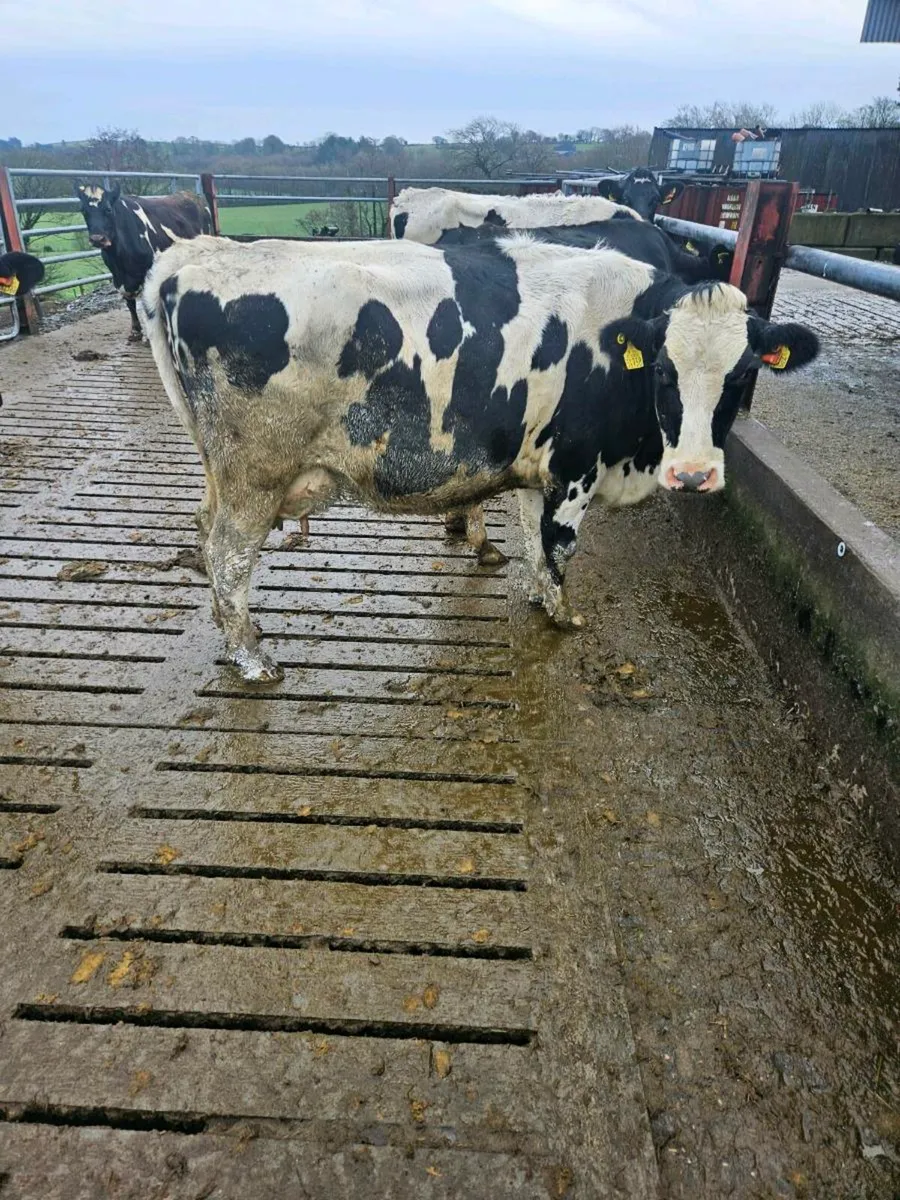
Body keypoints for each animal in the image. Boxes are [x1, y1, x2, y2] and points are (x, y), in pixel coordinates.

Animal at [76, 184, 209, 342]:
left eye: (108, 209)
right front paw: (135, 330)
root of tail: (190, 194)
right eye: (83, 211)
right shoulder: (119, 278)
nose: (97, 239)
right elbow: (130, 303)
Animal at [141, 233, 819, 684]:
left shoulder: (538, 465)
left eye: (744, 374)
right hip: (255, 474)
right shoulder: (576, 465)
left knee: (204, 532)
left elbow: (532, 537)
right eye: (662, 370)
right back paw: (253, 659)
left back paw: (239, 638)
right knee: (228, 557)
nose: (694, 473)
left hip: (224, 473)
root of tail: (194, 255)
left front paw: (538, 594)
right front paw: (562, 614)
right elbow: (561, 545)